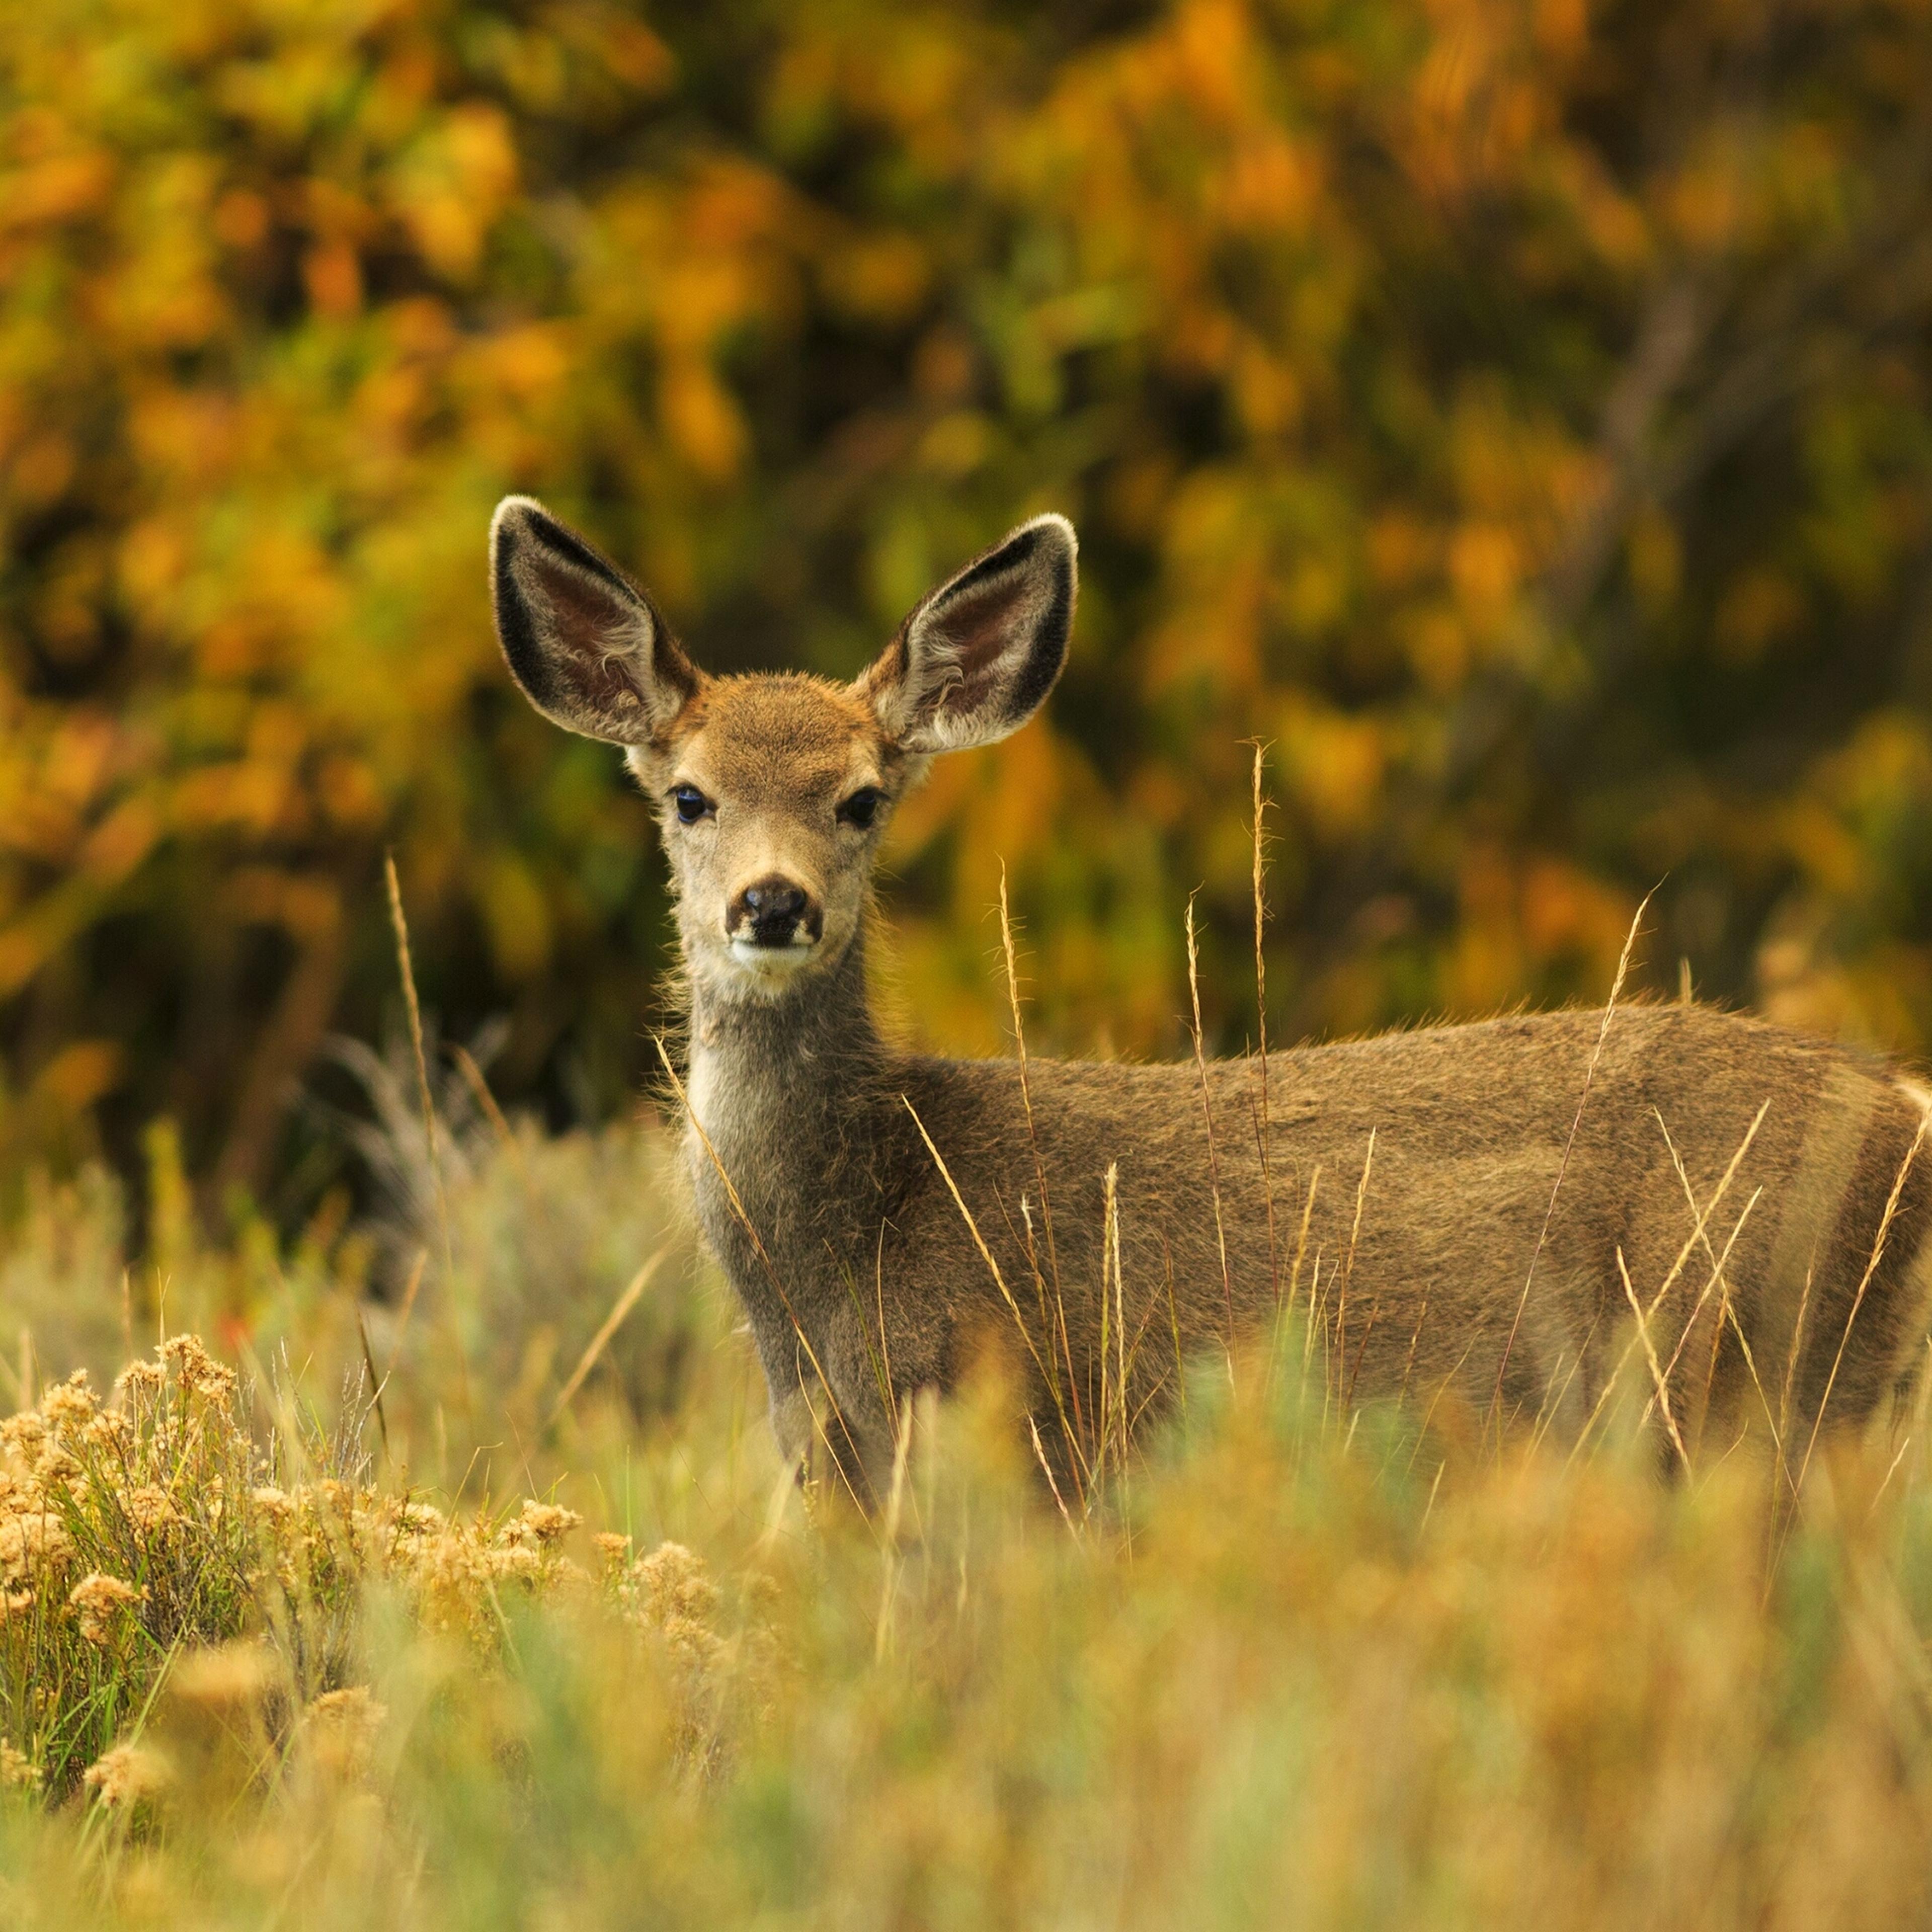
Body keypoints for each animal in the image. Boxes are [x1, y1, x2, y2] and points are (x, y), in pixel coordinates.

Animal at [489, 496, 1932, 1505]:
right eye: (689, 797)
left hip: (1748, 1381)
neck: (841, 1258)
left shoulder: (1015, 1427)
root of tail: (1903, 1107)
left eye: (860, 798)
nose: (774, 906)